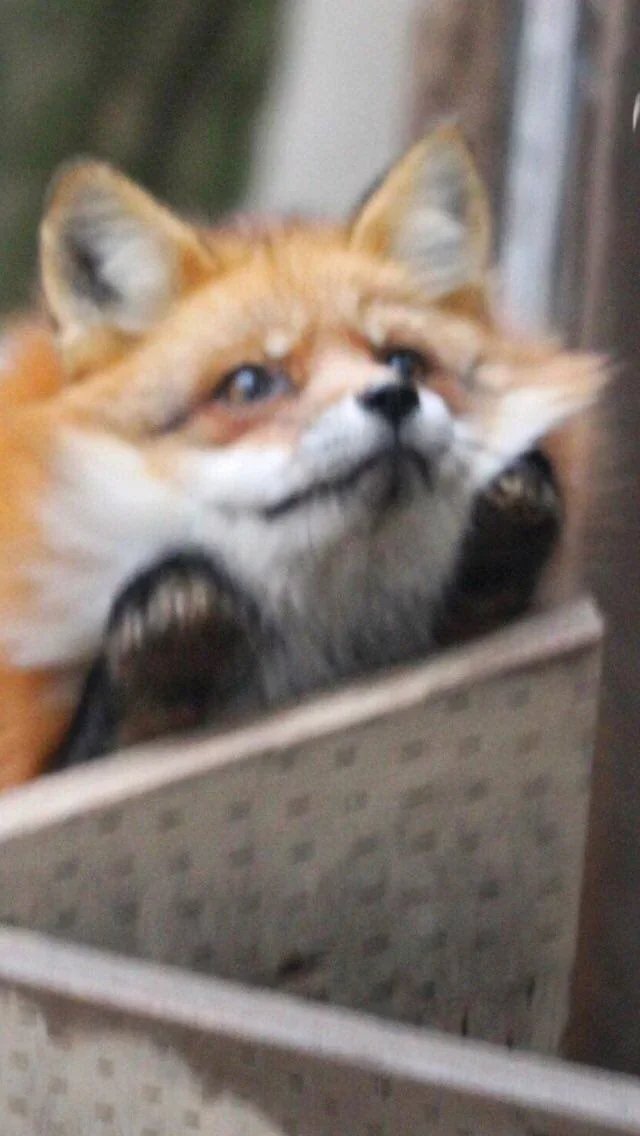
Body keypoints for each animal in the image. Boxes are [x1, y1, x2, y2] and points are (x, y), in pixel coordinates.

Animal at [0, 125, 604, 788]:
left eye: (403, 362)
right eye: (248, 384)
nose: (394, 398)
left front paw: (498, 545)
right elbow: (121, 730)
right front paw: (169, 655)